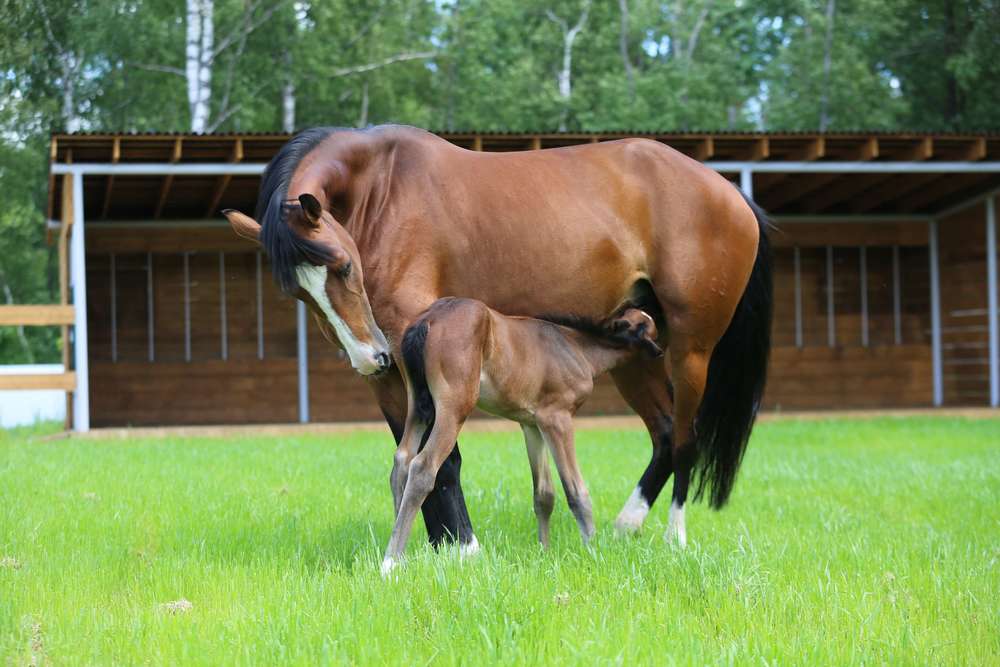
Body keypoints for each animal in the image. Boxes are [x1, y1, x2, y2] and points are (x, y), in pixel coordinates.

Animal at [382, 298, 664, 576]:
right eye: (651, 329)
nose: (661, 352)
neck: (577, 349)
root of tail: (428, 319)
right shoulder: (557, 418)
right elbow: (576, 491)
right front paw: (593, 552)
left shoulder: (531, 424)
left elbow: (544, 494)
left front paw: (545, 552)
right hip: (454, 406)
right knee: (423, 467)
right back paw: (391, 562)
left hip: (417, 404)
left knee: (402, 460)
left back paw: (399, 551)